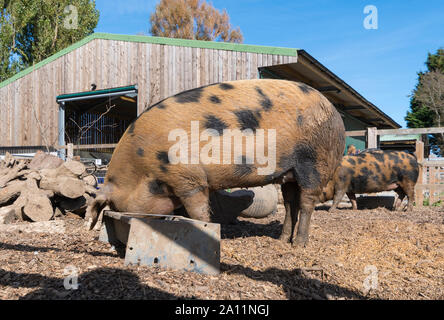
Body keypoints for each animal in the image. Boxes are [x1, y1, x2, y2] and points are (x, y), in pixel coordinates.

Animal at [86, 79, 344, 246]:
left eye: (119, 206)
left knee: (307, 202)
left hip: (313, 163)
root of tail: (335, 112)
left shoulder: (189, 177)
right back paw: (281, 242)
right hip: (288, 172)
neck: (142, 166)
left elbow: (198, 210)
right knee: (291, 203)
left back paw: (299, 245)